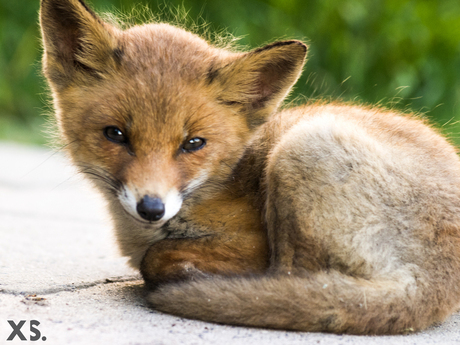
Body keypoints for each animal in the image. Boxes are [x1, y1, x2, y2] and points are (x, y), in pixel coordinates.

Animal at [38, 0, 460, 334]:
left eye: (193, 143)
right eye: (116, 134)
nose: (152, 208)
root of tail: (435, 286)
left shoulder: (253, 243)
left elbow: (156, 257)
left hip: (302, 145)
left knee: (292, 282)